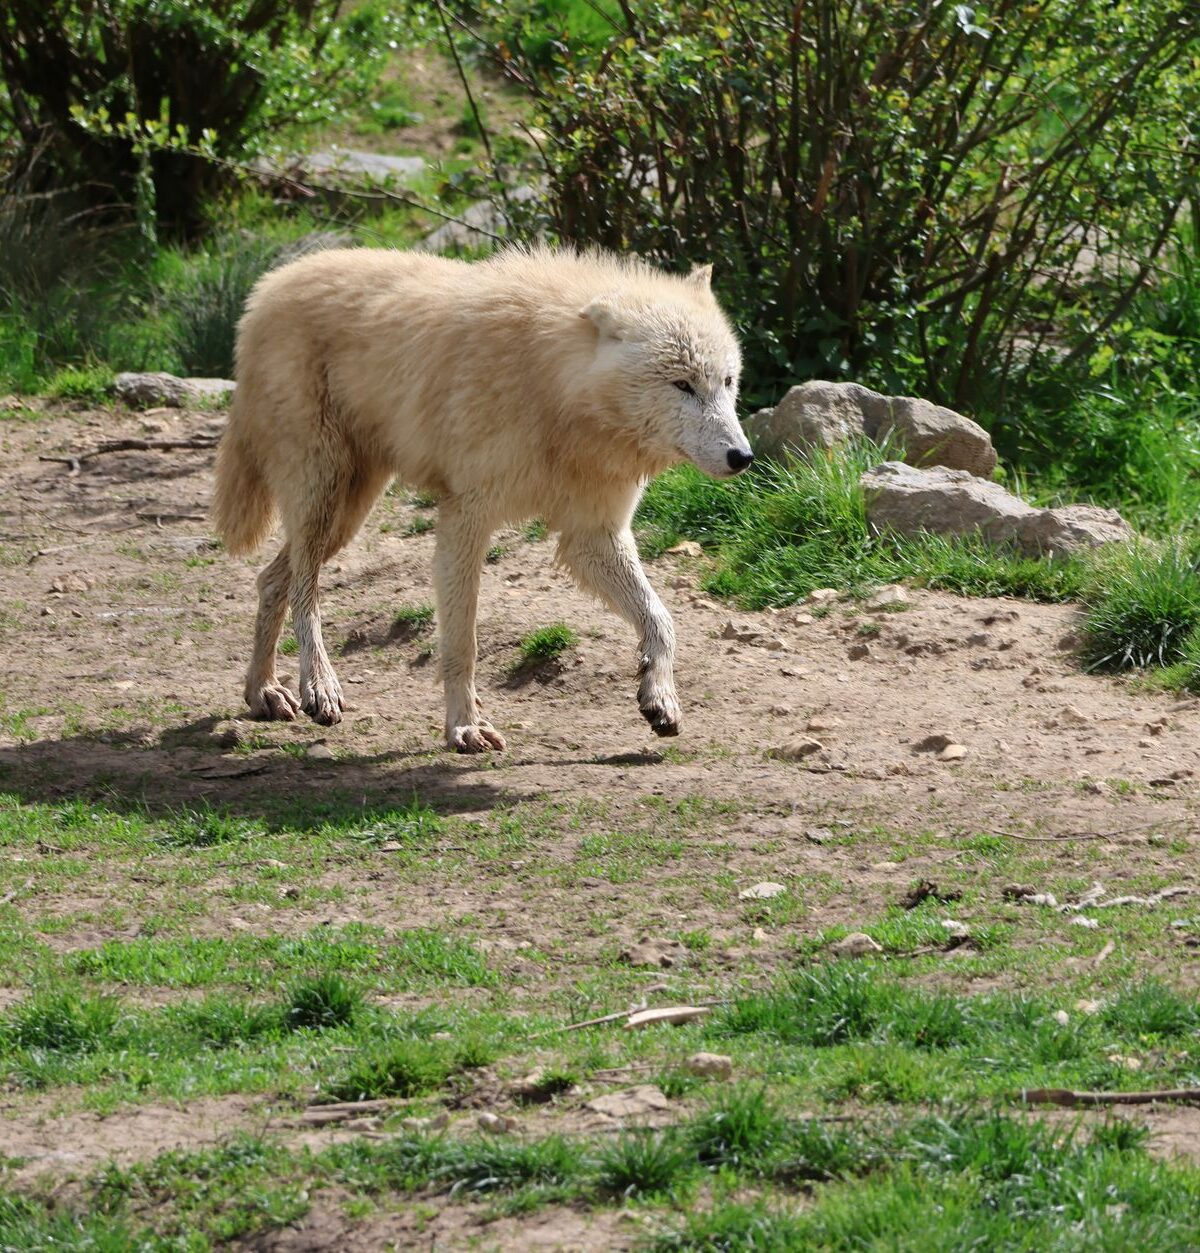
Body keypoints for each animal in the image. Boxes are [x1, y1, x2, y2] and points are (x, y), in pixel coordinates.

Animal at [210, 246, 752, 752]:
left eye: (726, 382)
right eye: (682, 384)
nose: (743, 456)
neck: (555, 395)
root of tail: (267, 289)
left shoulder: (593, 535)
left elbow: (661, 620)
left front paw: (659, 697)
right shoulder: (466, 517)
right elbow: (462, 643)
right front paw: (465, 727)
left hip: (348, 511)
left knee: (270, 580)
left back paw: (263, 692)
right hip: (323, 494)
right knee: (306, 593)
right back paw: (318, 686)